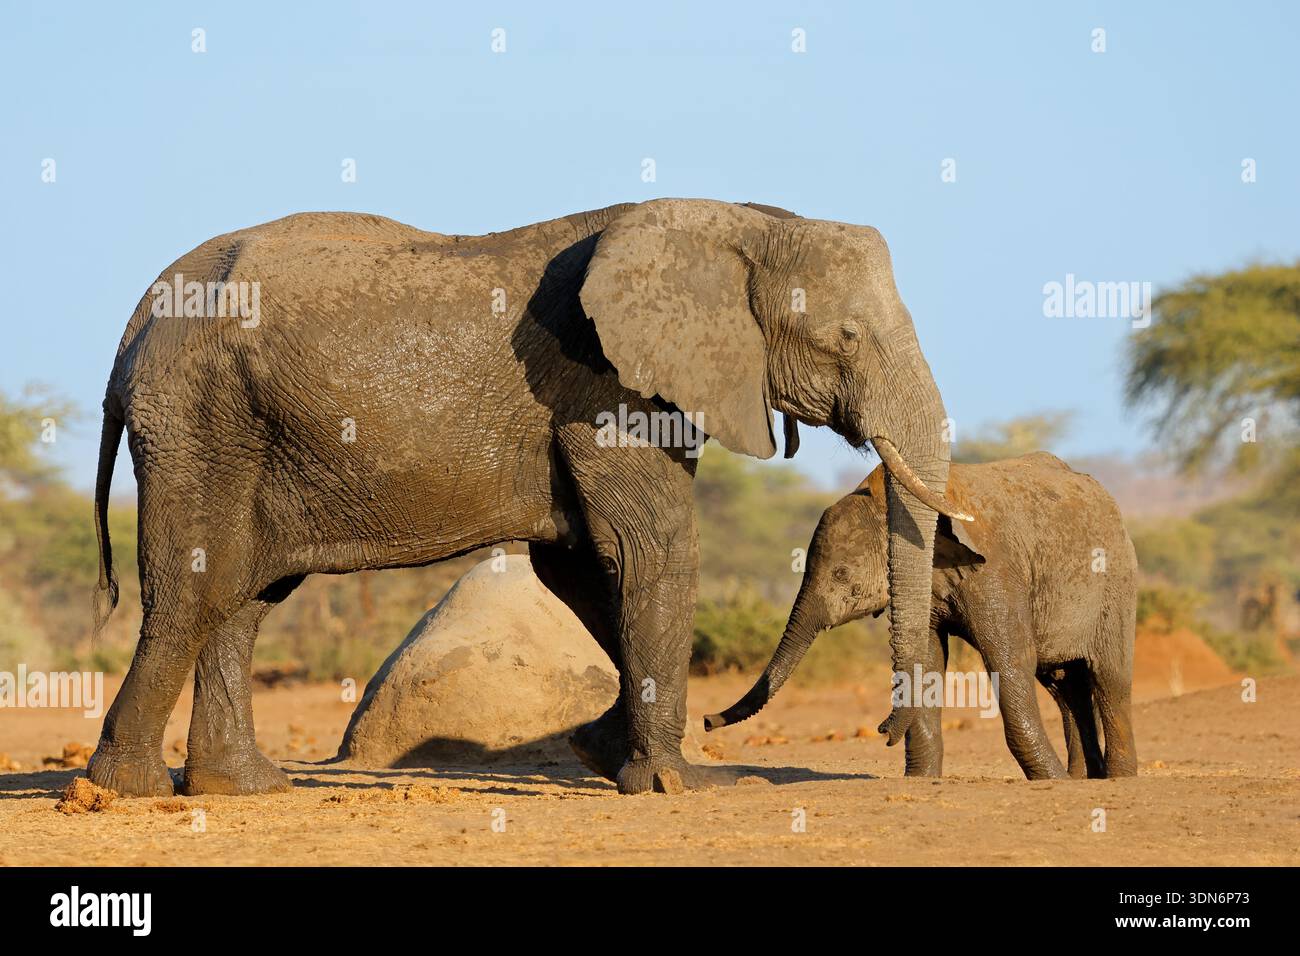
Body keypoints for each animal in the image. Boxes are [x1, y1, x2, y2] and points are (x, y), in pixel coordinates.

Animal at [87, 198, 970, 798]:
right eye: (846, 337)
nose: (888, 736)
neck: (738, 221)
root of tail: (131, 330)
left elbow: (583, 565)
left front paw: (600, 751)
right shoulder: (606, 382)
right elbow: (650, 550)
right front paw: (681, 783)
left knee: (244, 598)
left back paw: (246, 788)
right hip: (200, 416)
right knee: (195, 590)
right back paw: (122, 790)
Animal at [705, 452, 1138, 779]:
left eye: (841, 574)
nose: (707, 721)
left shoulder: (996, 571)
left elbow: (1011, 660)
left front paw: (1050, 780)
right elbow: (929, 660)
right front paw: (922, 779)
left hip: (1117, 583)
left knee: (1109, 679)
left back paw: (1116, 778)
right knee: (1064, 686)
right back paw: (1086, 778)